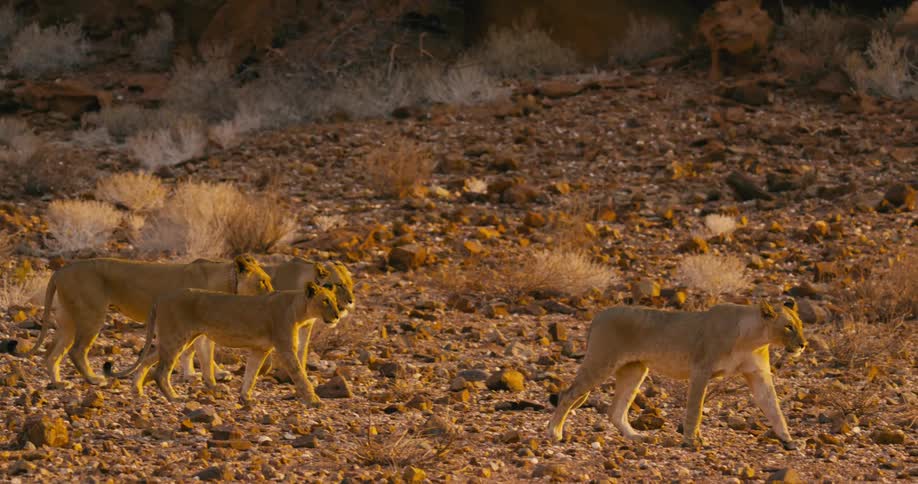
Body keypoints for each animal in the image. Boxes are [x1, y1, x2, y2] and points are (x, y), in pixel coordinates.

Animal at [9, 255, 273, 387]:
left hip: (68, 319)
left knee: (52, 353)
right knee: (76, 351)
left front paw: (196, 374)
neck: (227, 280)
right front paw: (209, 376)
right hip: (92, 313)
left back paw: (58, 382)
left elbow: (193, 352)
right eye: (263, 281)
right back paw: (94, 379)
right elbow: (203, 352)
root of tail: (59, 271)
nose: (273, 293)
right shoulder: (197, 320)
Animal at [108, 282, 341, 406]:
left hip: (177, 338)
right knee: (160, 372)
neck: (300, 310)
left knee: (147, 359)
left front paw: (246, 397)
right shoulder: (285, 348)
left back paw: (137, 389)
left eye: (335, 301)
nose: (338, 315)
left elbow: (251, 374)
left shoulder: (260, 349)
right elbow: (300, 374)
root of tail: (161, 296)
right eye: (325, 301)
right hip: (176, 337)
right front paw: (314, 399)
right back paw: (174, 397)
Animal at [547, 299, 807, 450]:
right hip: (601, 361)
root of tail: (599, 315)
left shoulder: (759, 375)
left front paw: (788, 440)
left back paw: (636, 437)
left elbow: (773, 408)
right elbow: (695, 409)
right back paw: (554, 432)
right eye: (788, 327)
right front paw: (692, 441)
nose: (803, 345)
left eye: (801, 325)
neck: (753, 339)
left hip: (635, 369)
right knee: (568, 394)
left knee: (615, 411)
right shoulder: (701, 369)